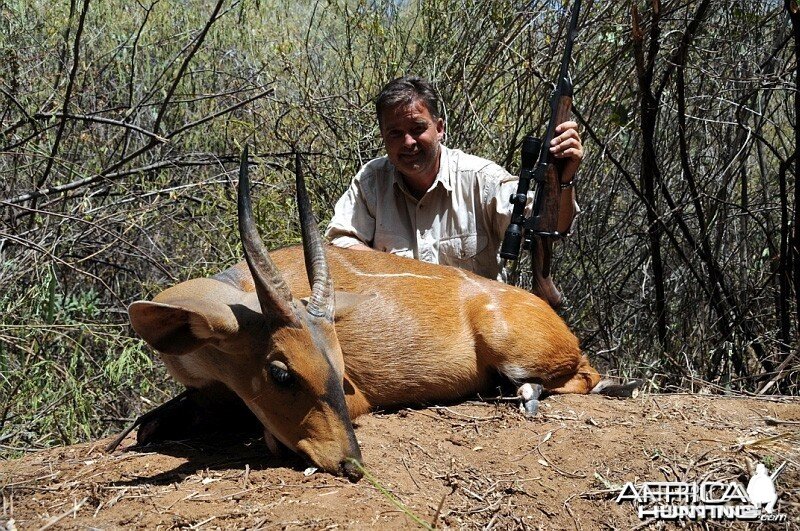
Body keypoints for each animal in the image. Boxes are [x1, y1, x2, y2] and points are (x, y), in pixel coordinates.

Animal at [126, 149, 624, 482]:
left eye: (339, 368)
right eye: (280, 372)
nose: (351, 462)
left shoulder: (356, 399)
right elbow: (148, 425)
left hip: (519, 354)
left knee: (585, 375)